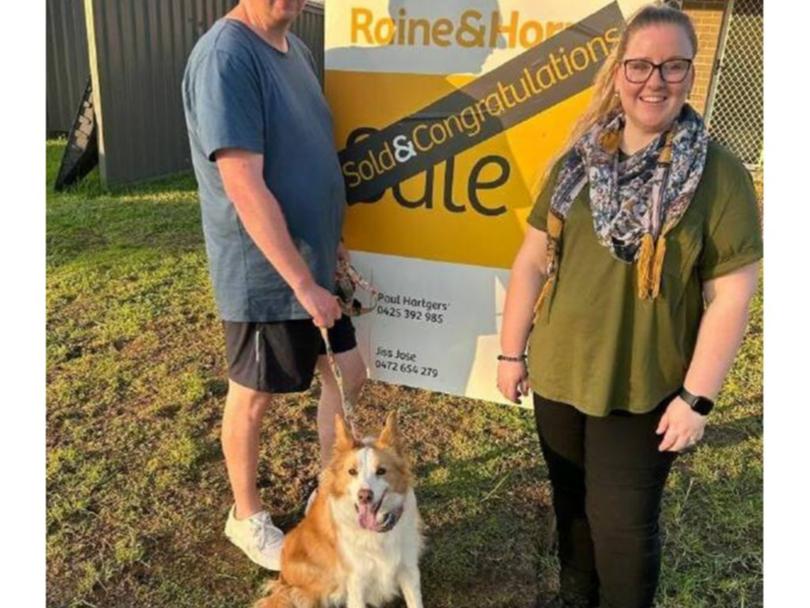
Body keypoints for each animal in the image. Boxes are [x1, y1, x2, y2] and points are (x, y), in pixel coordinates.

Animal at [258, 410, 422, 604]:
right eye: (352, 472)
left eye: (381, 471)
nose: (364, 496)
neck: (376, 532)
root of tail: (283, 575)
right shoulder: (357, 578)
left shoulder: (408, 567)